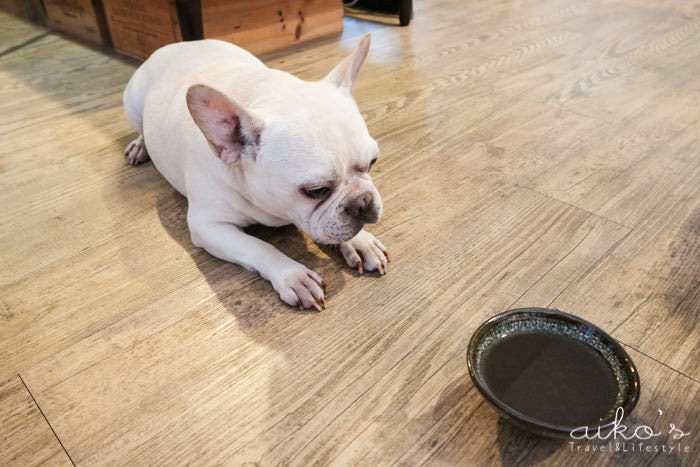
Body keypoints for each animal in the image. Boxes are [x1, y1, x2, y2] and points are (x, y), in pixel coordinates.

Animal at [123, 33, 392, 310]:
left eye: (373, 162)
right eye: (316, 191)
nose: (363, 202)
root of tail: (180, 44)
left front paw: (360, 241)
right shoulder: (207, 226)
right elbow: (258, 247)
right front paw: (293, 275)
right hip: (132, 105)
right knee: (140, 128)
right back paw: (140, 146)